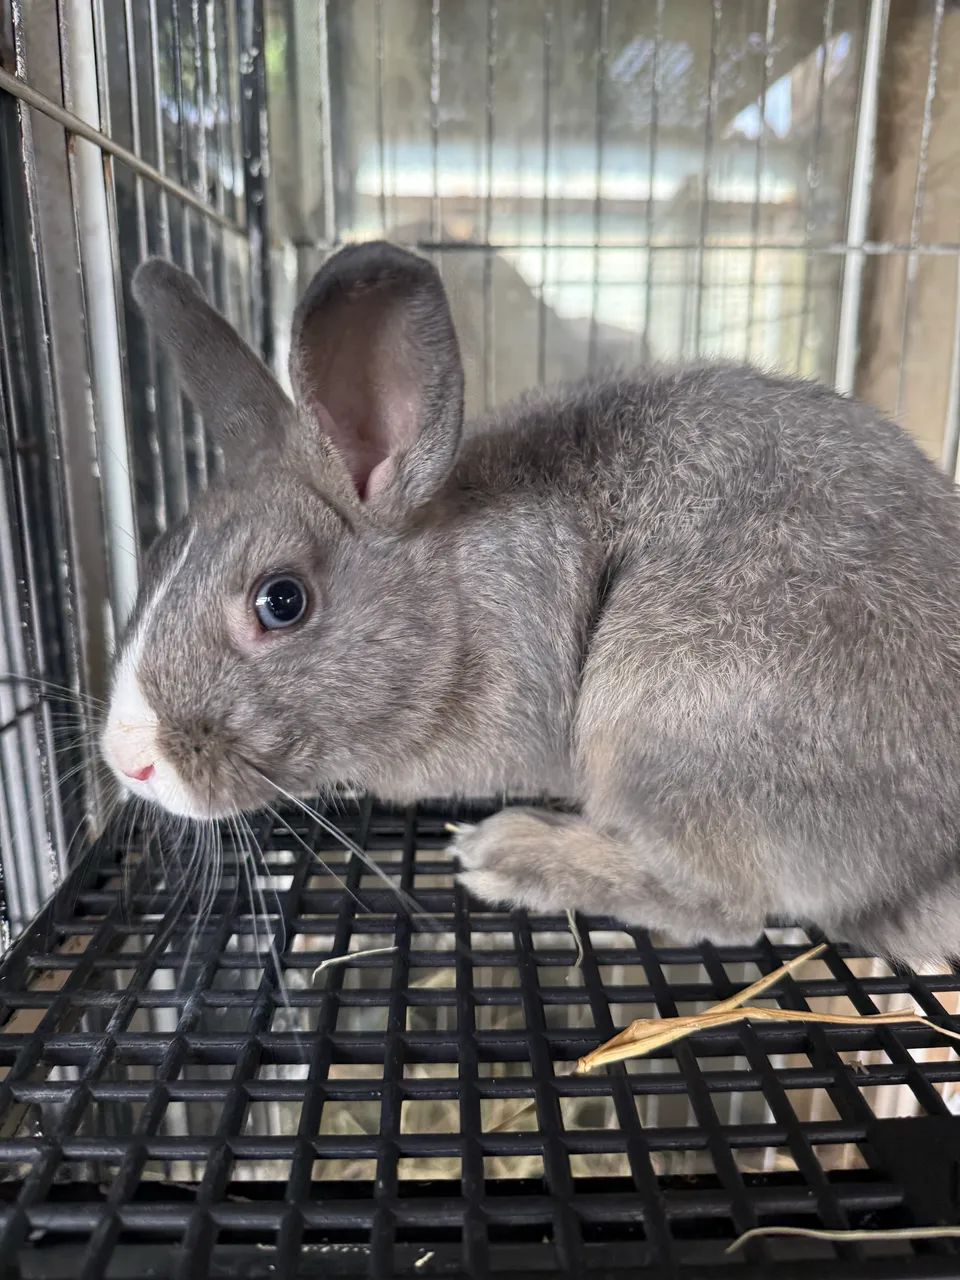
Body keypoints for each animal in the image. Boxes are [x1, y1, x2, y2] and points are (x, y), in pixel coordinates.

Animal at [101, 239, 960, 969]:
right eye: (157, 554)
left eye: (280, 601)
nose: (127, 761)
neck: (450, 592)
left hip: (662, 717)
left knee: (725, 909)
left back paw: (511, 853)